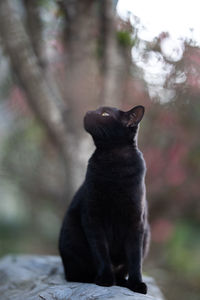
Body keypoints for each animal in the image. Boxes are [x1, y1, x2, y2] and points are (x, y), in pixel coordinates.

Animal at [58, 104, 151, 294]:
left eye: (105, 114)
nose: (87, 112)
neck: (113, 161)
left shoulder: (135, 222)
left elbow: (135, 258)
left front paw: (137, 284)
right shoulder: (92, 218)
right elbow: (101, 252)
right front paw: (105, 279)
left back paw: (122, 281)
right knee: (74, 274)